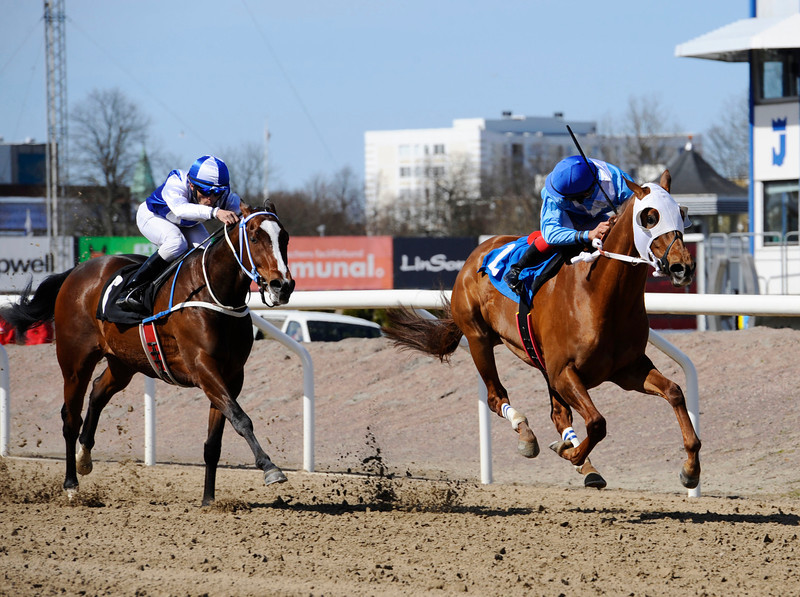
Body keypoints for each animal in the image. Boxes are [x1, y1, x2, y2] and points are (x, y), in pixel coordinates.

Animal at [0, 201, 294, 502]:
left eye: (284, 238)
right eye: (255, 237)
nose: (282, 286)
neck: (214, 294)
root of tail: (75, 271)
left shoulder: (232, 375)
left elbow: (216, 439)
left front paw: (209, 499)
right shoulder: (202, 367)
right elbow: (241, 418)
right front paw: (270, 468)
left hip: (123, 362)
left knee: (97, 391)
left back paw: (84, 458)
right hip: (75, 362)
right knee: (71, 417)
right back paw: (71, 484)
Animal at [384, 172, 704, 488]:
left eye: (680, 213)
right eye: (649, 217)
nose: (683, 267)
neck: (598, 295)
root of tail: (478, 253)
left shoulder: (626, 369)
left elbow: (675, 392)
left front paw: (691, 469)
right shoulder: (564, 371)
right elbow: (597, 423)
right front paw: (571, 453)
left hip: (540, 362)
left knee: (559, 414)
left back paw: (584, 463)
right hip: (478, 339)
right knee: (496, 396)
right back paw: (526, 433)